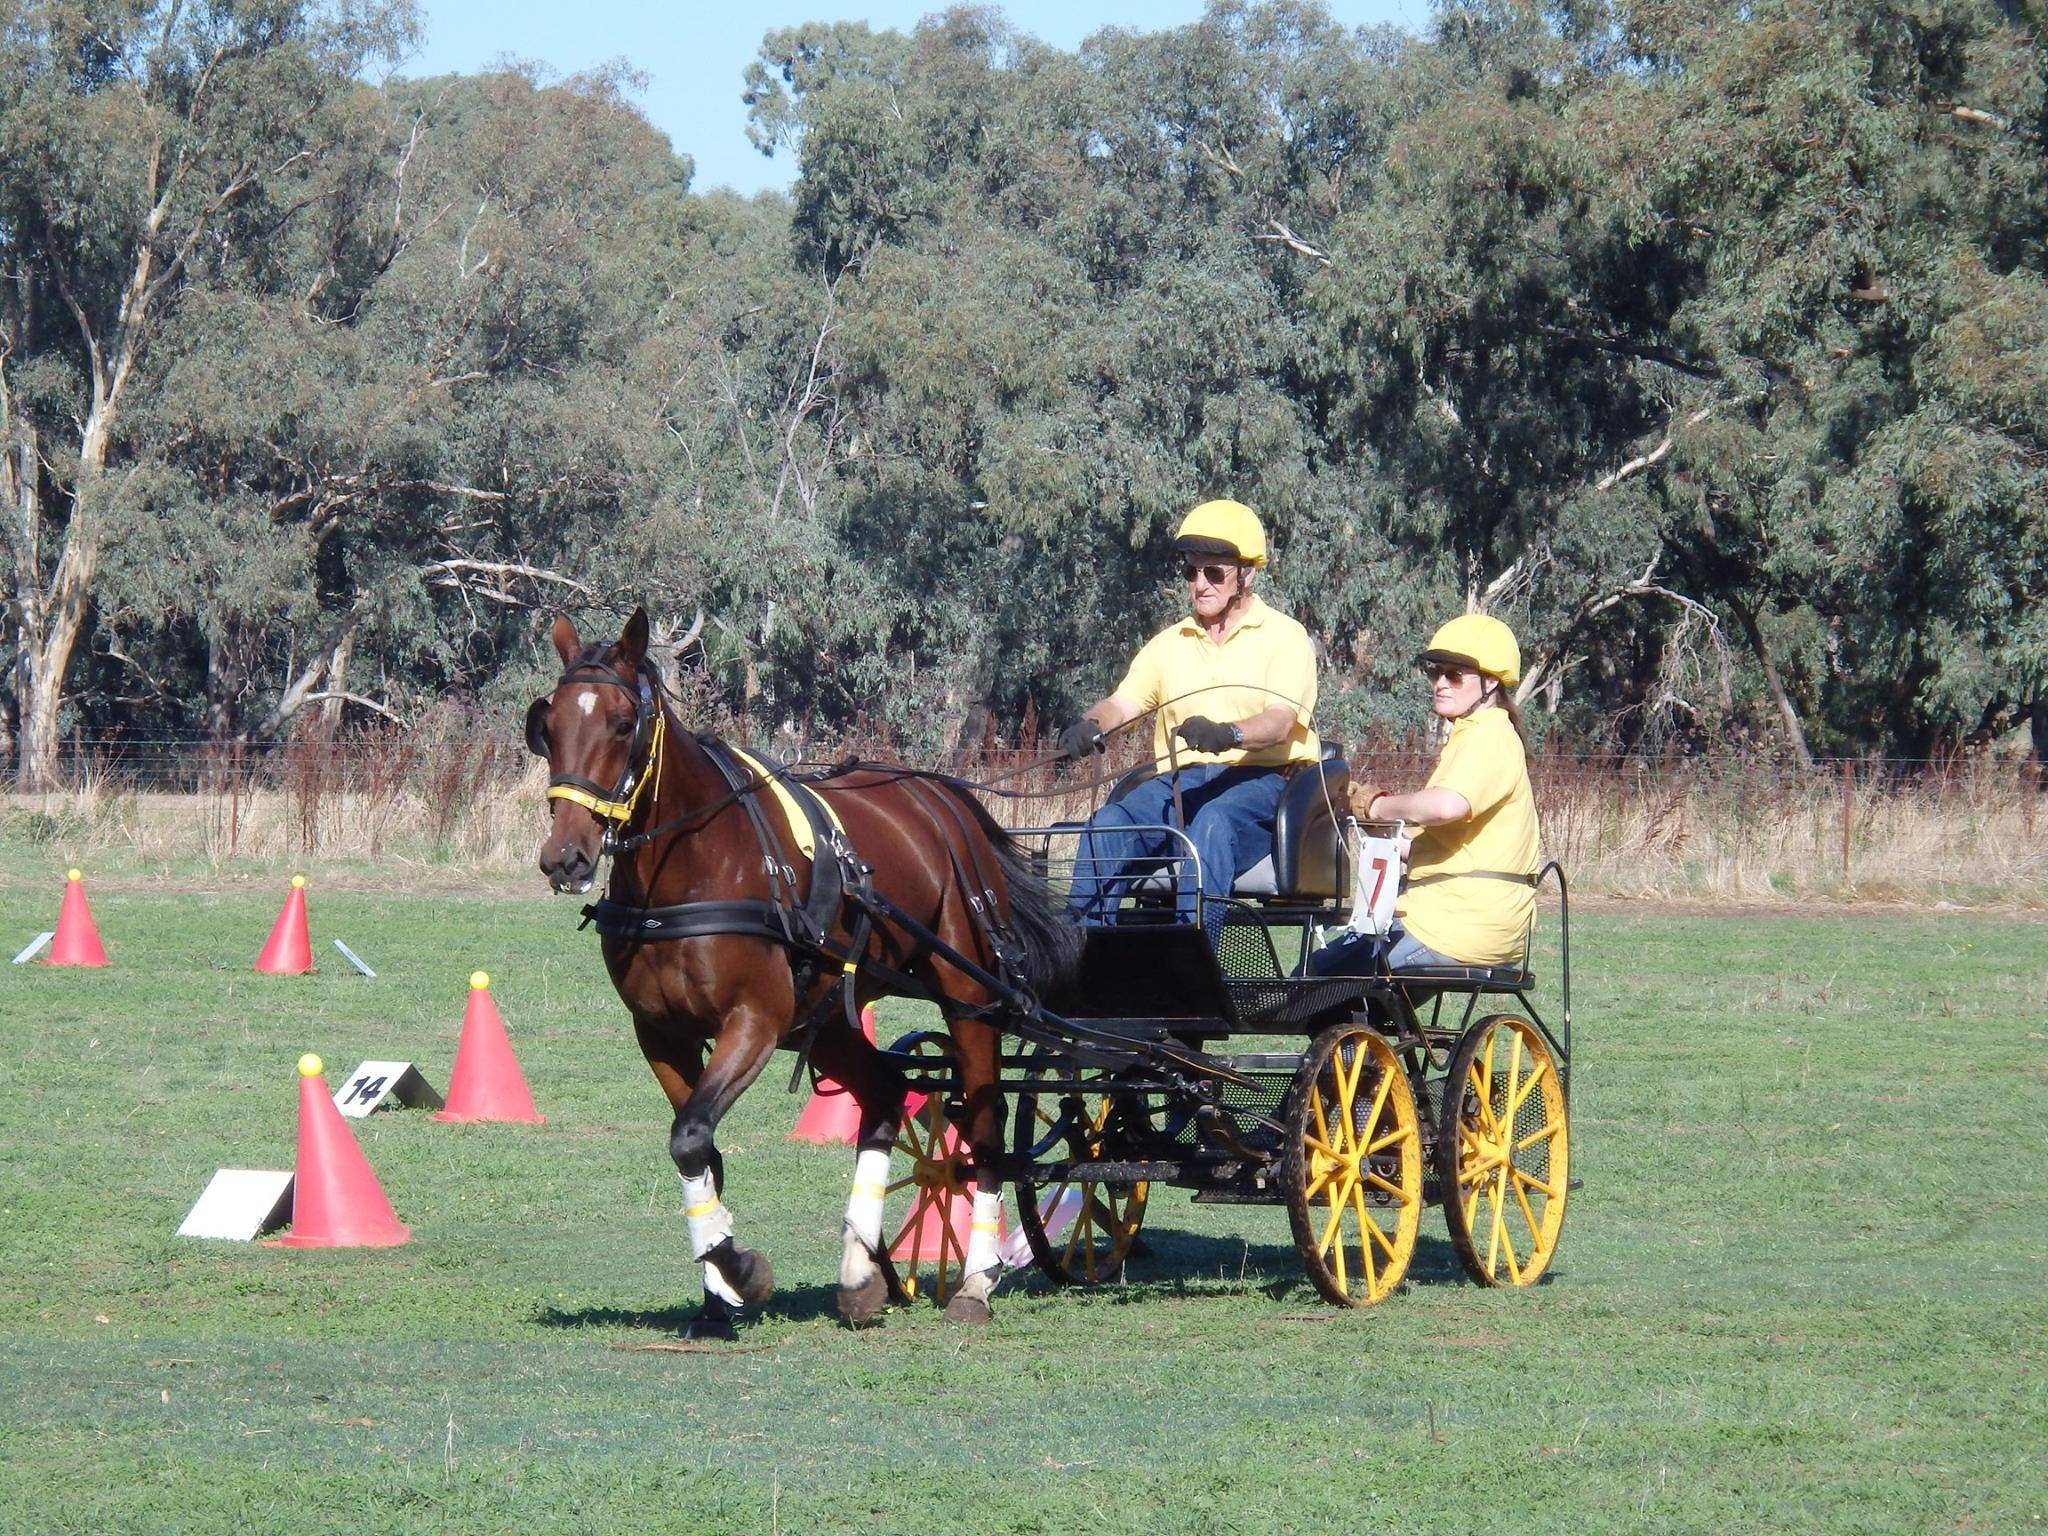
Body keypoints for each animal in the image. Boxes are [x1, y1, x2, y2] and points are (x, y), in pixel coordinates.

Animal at [526, 608, 1082, 1336]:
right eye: (549, 724)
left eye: (623, 723)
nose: (565, 856)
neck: (692, 867)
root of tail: (943, 797)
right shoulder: (662, 1035)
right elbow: (701, 1150)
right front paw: (717, 1295)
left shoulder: (753, 1022)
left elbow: (690, 1138)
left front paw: (741, 1273)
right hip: (826, 1017)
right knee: (885, 1094)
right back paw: (860, 1274)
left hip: (967, 998)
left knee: (985, 1127)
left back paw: (976, 1283)